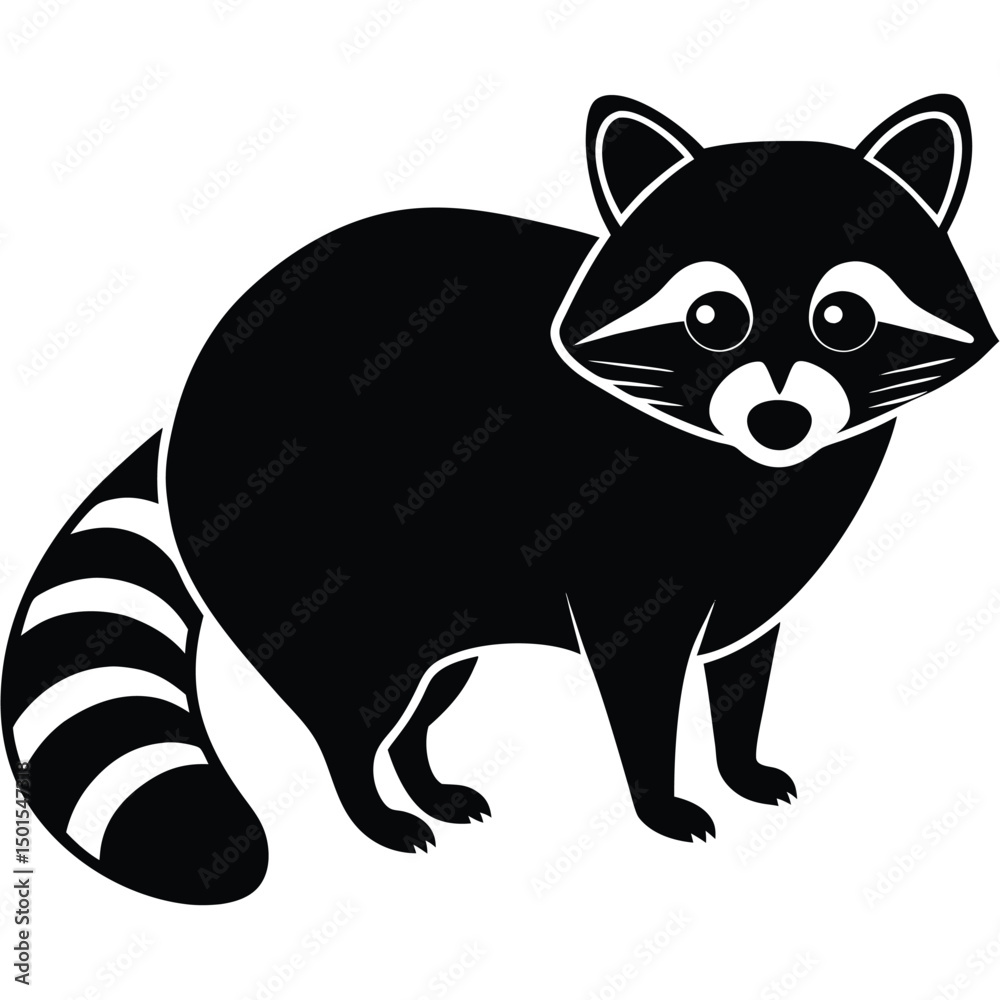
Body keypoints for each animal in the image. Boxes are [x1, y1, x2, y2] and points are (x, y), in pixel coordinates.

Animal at [3, 94, 994, 903]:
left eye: (844, 319)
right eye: (713, 319)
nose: (780, 418)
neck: (753, 468)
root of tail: (184, 404)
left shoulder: (768, 561)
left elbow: (741, 670)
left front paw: (740, 762)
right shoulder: (626, 543)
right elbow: (640, 682)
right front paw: (662, 798)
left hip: (454, 603)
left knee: (423, 696)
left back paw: (424, 776)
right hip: (319, 568)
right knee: (348, 710)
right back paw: (373, 805)